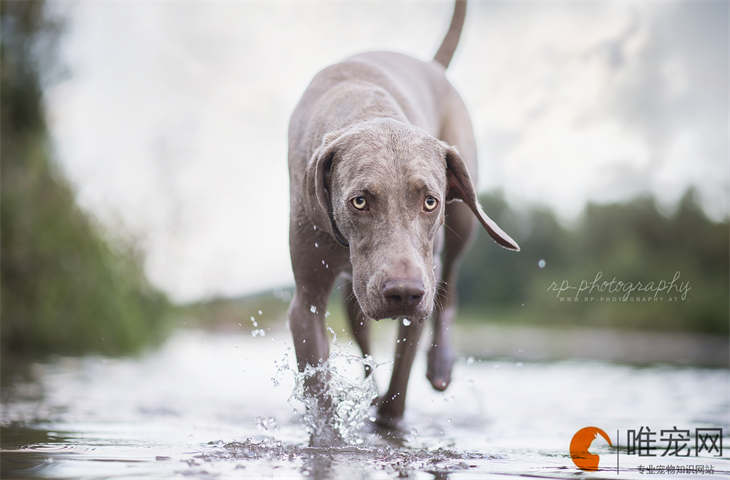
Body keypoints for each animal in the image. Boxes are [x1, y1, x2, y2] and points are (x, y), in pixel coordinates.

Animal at [284, 0, 516, 428]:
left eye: (430, 201)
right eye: (359, 201)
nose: (403, 292)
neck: (366, 110)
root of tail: (432, 65)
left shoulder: (422, 284)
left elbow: (399, 388)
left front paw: (388, 418)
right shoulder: (306, 301)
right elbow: (320, 393)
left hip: (460, 224)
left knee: (450, 288)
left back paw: (440, 367)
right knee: (360, 329)